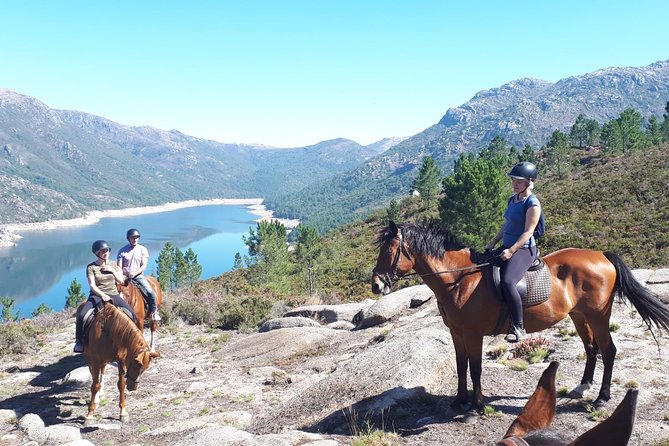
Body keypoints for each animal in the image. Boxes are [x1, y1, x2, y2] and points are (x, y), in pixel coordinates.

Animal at [370, 221, 668, 416]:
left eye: (389, 251)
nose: (376, 285)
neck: (459, 278)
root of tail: (601, 255)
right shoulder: (456, 332)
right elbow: (461, 365)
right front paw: (459, 401)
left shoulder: (473, 333)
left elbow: (475, 368)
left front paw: (475, 407)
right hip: (579, 315)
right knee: (591, 348)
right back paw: (583, 387)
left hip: (598, 316)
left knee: (608, 350)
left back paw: (601, 399)